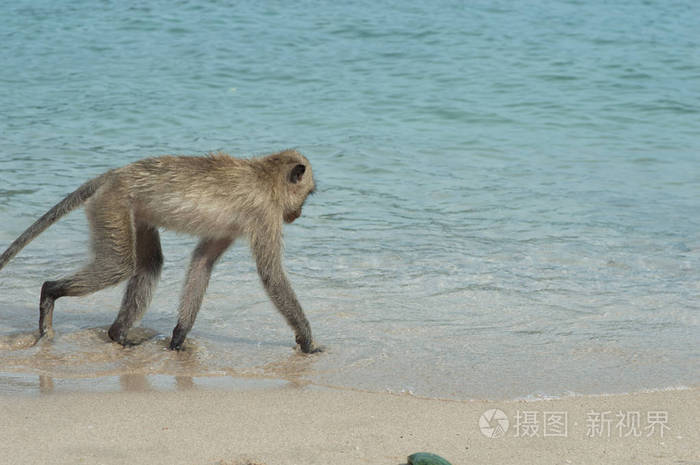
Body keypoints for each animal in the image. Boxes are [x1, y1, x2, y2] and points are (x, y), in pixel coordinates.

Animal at [0, 149, 320, 352]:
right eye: (307, 195)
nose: (299, 214)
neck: (266, 176)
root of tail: (114, 174)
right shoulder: (265, 213)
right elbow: (271, 275)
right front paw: (306, 340)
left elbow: (202, 262)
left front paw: (179, 337)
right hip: (113, 204)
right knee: (120, 265)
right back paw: (50, 292)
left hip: (134, 210)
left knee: (150, 263)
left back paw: (117, 334)